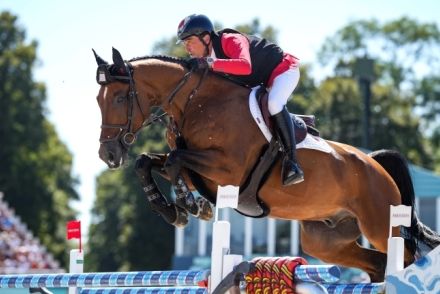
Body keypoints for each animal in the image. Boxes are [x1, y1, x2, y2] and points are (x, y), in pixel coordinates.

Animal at [93, 47, 440, 282]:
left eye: (121, 99)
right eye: (98, 100)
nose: (108, 155)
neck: (197, 103)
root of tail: (376, 165)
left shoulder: (229, 170)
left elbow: (175, 162)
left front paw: (190, 206)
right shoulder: (203, 172)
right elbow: (149, 163)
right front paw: (176, 210)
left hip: (380, 225)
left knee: (407, 256)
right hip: (325, 240)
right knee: (377, 264)